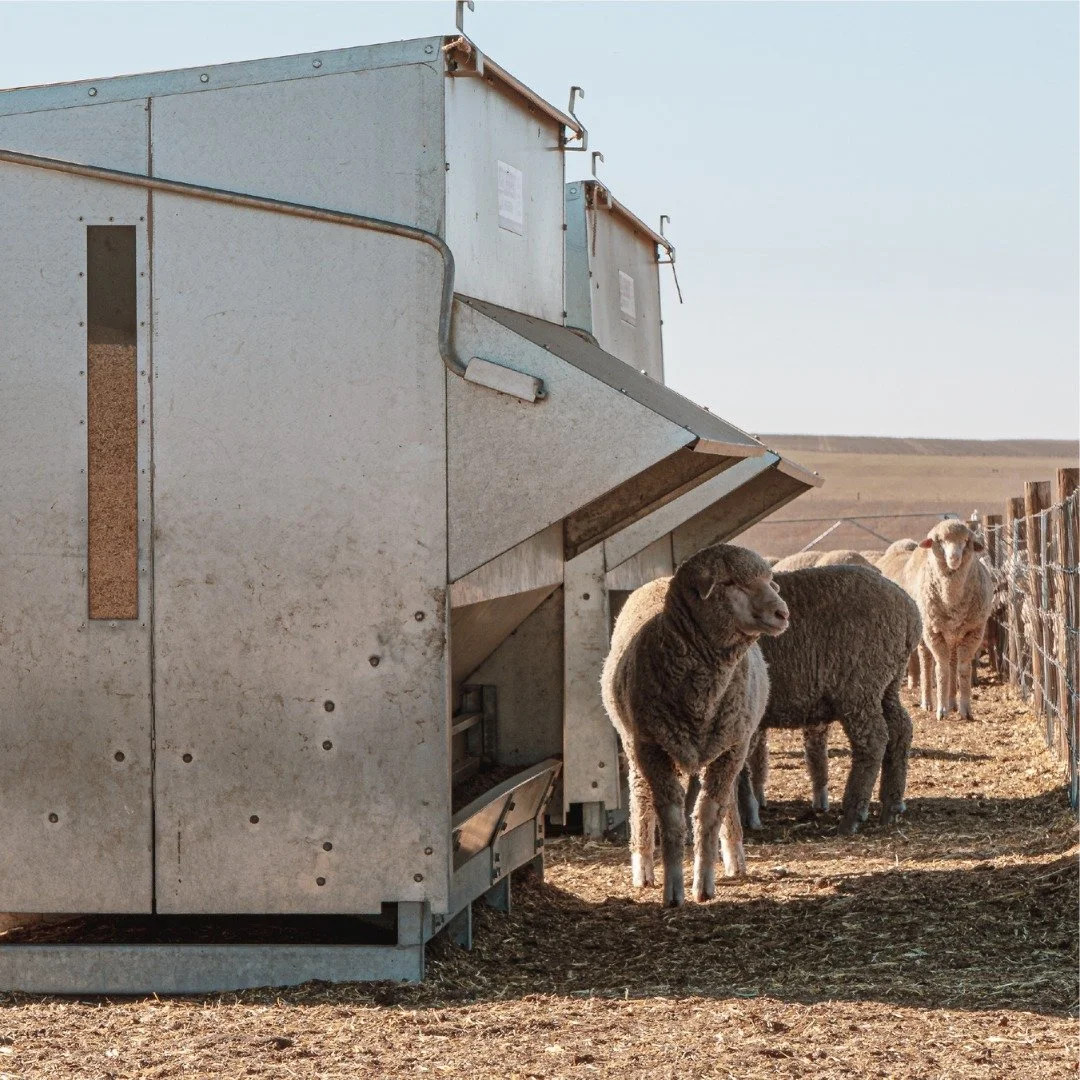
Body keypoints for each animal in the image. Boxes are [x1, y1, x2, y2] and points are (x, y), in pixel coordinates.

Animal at [600, 544, 789, 906]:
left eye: (768, 581)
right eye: (730, 583)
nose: (782, 613)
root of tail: (659, 578)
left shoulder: (732, 748)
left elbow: (710, 813)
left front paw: (704, 883)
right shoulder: (651, 747)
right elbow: (671, 817)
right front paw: (673, 890)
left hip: (725, 746)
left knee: (728, 800)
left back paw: (734, 856)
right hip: (635, 745)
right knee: (640, 798)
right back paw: (643, 867)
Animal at [735, 565, 922, 834]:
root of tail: (910, 611)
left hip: (859, 686)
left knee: (873, 739)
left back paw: (852, 816)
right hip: (888, 684)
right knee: (901, 728)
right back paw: (891, 806)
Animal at [882, 520, 993, 719]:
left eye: (966, 541)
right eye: (940, 541)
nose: (954, 558)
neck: (952, 599)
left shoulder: (973, 632)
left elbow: (963, 668)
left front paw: (965, 709)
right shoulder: (934, 633)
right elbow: (940, 669)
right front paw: (941, 710)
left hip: (954, 636)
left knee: (952, 663)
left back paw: (952, 702)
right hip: (924, 632)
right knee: (926, 663)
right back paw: (928, 701)